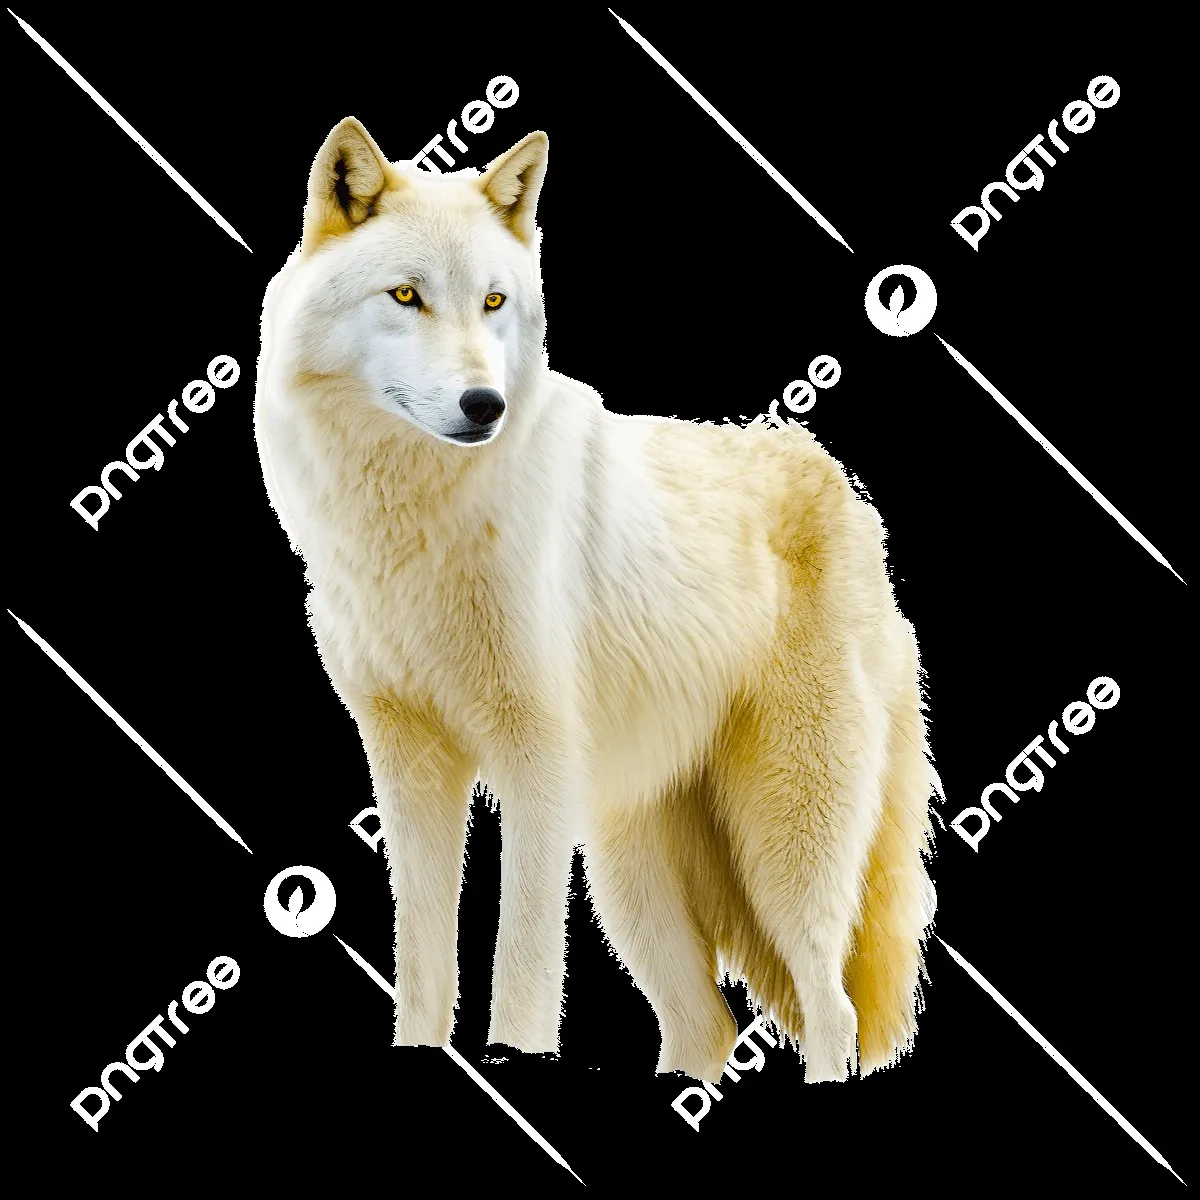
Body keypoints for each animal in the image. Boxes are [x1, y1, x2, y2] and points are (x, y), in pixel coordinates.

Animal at [254, 116, 939, 1085]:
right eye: (406, 296)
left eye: (494, 303)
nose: (484, 404)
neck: (415, 524)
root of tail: (839, 483)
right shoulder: (409, 764)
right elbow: (423, 963)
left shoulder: (536, 763)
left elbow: (523, 964)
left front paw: (516, 1054)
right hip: (631, 878)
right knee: (707, 1025)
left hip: (782, 847)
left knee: (831, 1007)